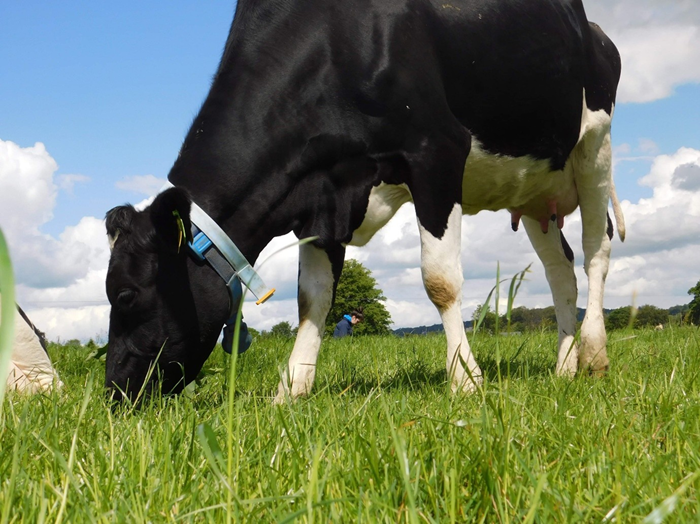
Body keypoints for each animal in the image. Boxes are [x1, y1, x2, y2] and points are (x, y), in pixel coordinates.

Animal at [104, 0, 624, 403]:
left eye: (125, 294)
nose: (114, 394)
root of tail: (595, 32)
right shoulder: (321, 196)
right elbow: (312, 297)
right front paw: (290, 390)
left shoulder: (436, 151)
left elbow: (440, 281)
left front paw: (465, 380)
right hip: (536, 190)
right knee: (560, 272)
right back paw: (564, 368)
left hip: (594, 146)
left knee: (596, 251)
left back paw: (596, 355)